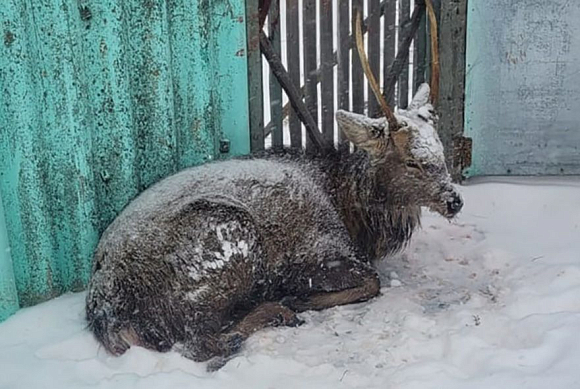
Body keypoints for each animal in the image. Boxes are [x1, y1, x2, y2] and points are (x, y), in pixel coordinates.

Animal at [85, 1, 462, 372]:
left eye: (440, 150)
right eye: (411, 161)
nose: (454, 200)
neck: (354, 213)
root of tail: (105, 309)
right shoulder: (319, 253)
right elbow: (372, 281)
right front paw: (298, 298)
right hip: (227, 240)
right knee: (198, 341)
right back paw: (276, 311)